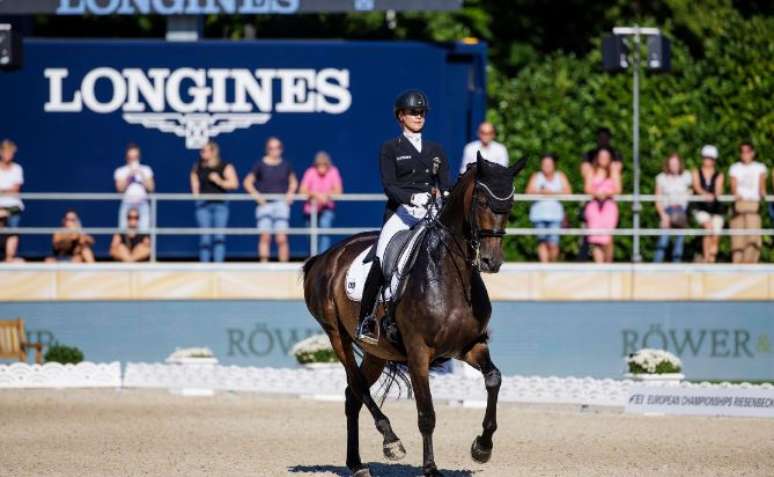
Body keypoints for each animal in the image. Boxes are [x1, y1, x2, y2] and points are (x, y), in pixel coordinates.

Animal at [302, 153, 528, 476]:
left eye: (510, 204)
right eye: (483, 202)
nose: (490, 261)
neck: (450, 274)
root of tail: (324, 257)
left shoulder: (470, 345)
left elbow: (494, 379)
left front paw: (482, 447)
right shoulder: (418, 353)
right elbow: (427, 414)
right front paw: (431, 468)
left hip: (376, 352)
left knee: (351, 396)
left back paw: (356, 463)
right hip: (336, 335)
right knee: (357, 385)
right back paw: (391, 441)